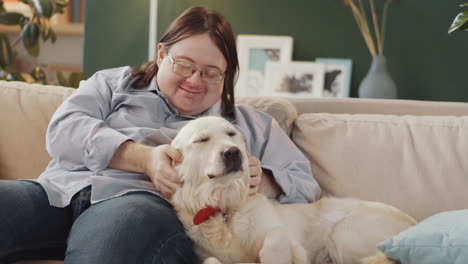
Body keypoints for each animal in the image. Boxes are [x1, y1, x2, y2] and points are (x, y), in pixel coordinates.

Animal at [169, 116, 416, 262]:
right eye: (201, 140)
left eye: (231, 134)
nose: (233, 152)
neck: (226, 208)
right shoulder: (208, 256)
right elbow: (211, 259)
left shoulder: (289, 240)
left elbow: (276, 236)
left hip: (342, 233)